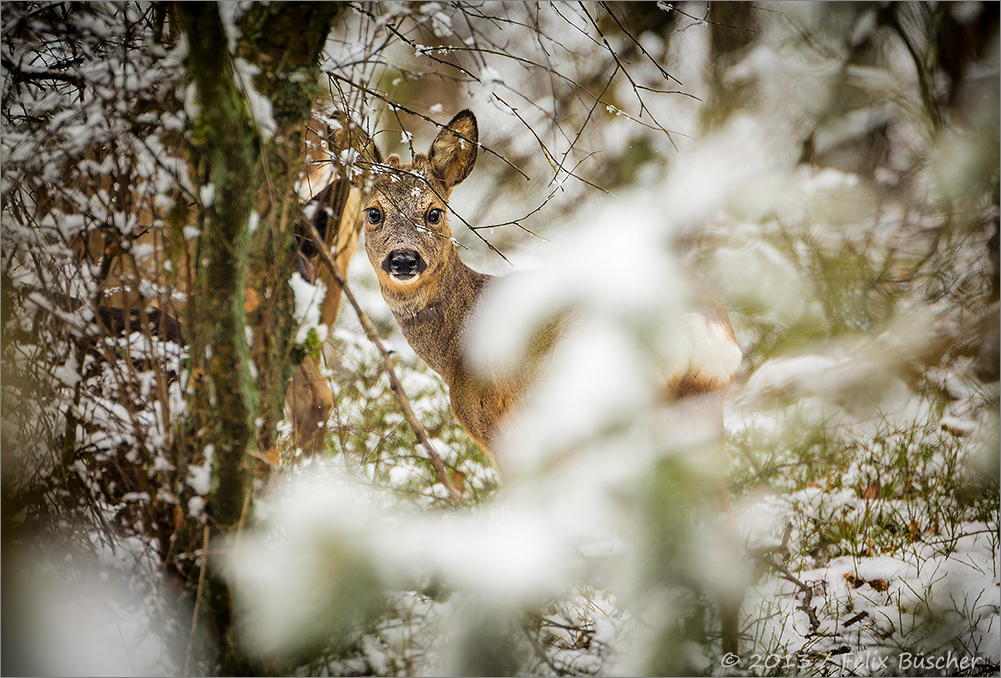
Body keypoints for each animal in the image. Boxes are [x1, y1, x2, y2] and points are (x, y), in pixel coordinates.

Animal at [366, 108, 744, 652]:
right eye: (372, 212)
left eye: (434, 212)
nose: (403, 260)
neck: (458, 344)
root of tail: (699, 325)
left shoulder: (510, 435)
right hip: (700, 411)